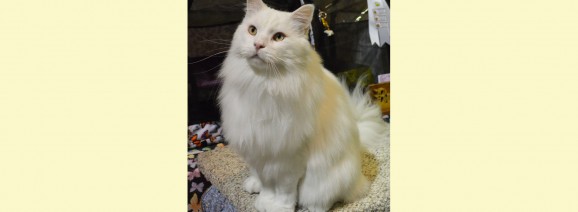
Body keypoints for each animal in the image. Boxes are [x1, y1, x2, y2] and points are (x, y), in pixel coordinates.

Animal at [216, 0, 388, 211]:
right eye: (252, 30)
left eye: (278, 37)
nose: (257, 45)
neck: (263, 85)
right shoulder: (262, 148)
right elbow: (267, 185)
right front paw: (264, 201)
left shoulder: (288, 157)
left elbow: (285, 191)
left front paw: (279, 207)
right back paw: (253, 185)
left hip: (329, 180)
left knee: (323, 201)